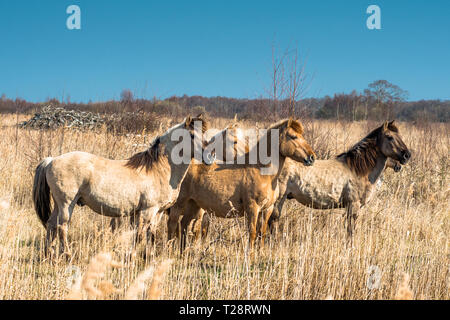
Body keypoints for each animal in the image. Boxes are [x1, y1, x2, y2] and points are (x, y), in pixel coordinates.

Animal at [33, 114, 211, 256]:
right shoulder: (147, 211)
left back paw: (49, 254)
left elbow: (150, 235)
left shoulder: (157, 213)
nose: (209, 156)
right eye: (192, 135)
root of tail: (51, 160)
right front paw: (132, 256)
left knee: (51, 224)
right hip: (66, 204)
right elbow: (139, 235)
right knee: (62, 226)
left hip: (58, 204)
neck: (159, 169)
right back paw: (67, 255)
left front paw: (149, 256)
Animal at [165, 117, 316, 250]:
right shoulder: (253, 208)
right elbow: (253, 233)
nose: (311, 157)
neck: (262, 172)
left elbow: (262, 233)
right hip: (179, 204)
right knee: (172, 225)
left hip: (194, 205)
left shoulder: (267, 209)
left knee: (184, 225)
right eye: (293, 136)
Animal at [268, 121, 412, 241]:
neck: (358, 169)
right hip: (279, 199)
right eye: (389, 137)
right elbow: (351, 230)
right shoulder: (354, 205)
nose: (407, 155)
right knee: (272, 221)